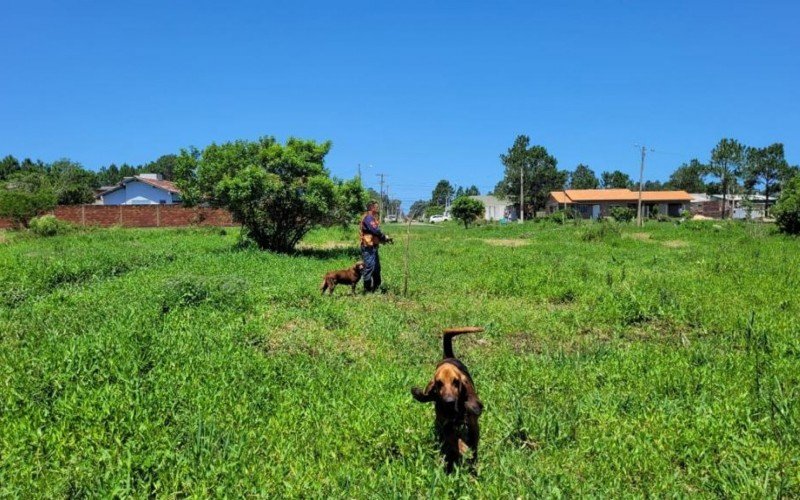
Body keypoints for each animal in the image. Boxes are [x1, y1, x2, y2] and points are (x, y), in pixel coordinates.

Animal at [410, 328, 484, 472]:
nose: (449, 402)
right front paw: (463, 449)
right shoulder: (446, 427)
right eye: (439, 384)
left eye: (456, 382)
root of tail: (447, 357)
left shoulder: (474, 426)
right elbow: (454, 440)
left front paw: (472, 462)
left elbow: (473, 445)